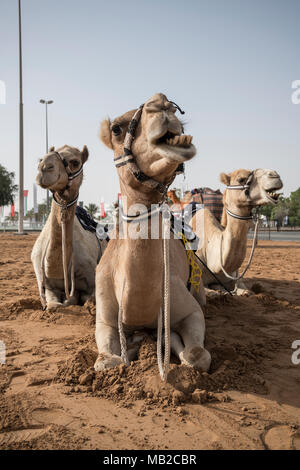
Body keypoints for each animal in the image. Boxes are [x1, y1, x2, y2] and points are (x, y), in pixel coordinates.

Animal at [31, 145, 105, 310]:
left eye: (75, 162)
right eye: (41, 158)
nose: (44, 167)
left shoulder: (92, 282)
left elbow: (88, 299)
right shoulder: (47, 288)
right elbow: (53, 305)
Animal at [95, 92, 210, 374]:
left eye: (181, 120)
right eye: (116, 129)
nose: (162, 103)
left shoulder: (188, 308)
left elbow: (197, 356)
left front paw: (172, 345)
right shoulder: (104, 317)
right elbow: (106, 361)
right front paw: (130, 347)